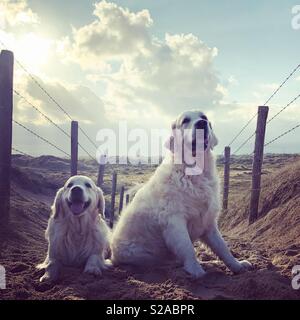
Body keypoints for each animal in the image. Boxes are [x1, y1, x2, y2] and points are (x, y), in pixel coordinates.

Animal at [111, 111, 252, 278]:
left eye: (204, 117)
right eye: (185, 121)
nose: (201, 123)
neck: (194, 173)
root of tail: (112, 255)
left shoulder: (208, 221)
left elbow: (222, 247)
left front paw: (237, 265)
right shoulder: (174, 220)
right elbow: (188, 248)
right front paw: (196, 271)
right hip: (144, 254)